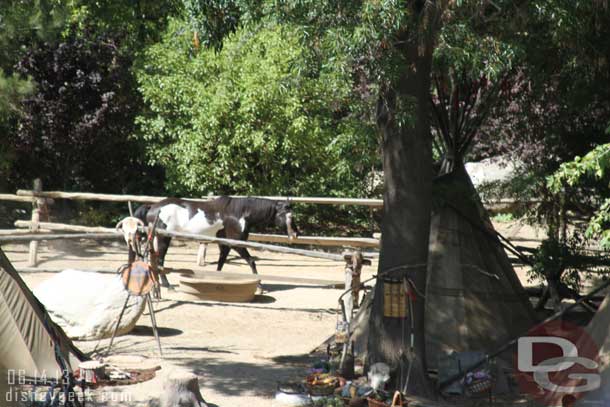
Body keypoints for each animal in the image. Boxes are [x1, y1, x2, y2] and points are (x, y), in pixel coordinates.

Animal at [133, 197, 296, 286]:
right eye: (287, 215)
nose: (295, 234)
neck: (239, 214)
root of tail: (153, 207)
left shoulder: (225, 244)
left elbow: (220, 263)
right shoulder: (236, 244)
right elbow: (251, 261)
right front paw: (260, 286)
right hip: (163, 238)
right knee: (160, 260)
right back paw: (167, 285)